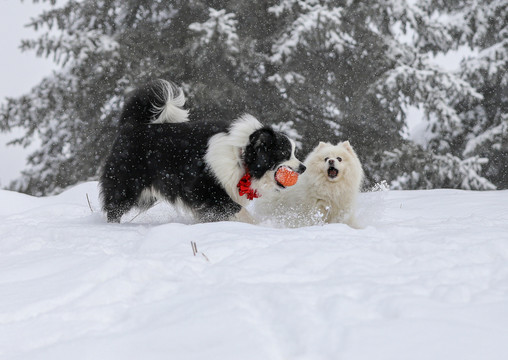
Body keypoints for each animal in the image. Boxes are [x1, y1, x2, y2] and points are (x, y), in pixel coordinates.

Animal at [99, 79, 306, 222]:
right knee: (114, 206)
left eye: (294, 153)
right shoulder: (208, 189)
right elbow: (238, 210)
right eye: (284, 154)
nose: (303, 168)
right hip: (127, 181)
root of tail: (131, 125)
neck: (240, 155)